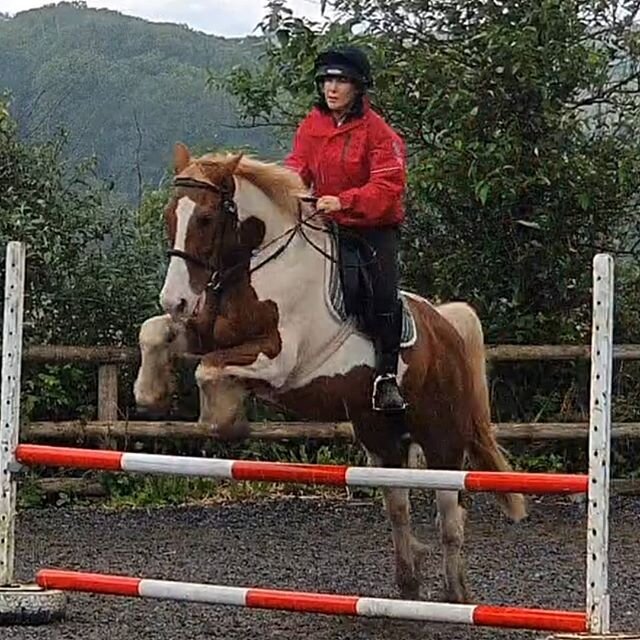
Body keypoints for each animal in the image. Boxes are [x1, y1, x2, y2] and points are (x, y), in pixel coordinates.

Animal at [134, 142, 524, 604]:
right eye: (170, 215)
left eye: (207, 218)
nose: (174, 300)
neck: (258, 268)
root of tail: (446, 324)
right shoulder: (206, 331)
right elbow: (154, 332)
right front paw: (151, 394)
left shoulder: (278, 359)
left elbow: (208, 371)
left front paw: (224, 420)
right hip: (382, 438)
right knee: (399, 507)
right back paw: (408, 586)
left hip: (441, 441)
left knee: (450, 518)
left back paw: (456, 595)